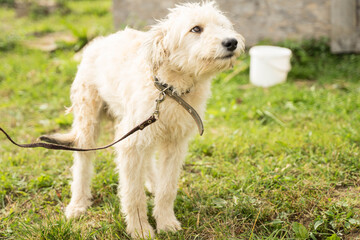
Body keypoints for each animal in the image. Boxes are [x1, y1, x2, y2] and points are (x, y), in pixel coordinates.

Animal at [50, 1, 245, 238]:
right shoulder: (130, 144)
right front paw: (140, 229)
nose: (232, 42)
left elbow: (168, 188)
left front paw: (166, 222)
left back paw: (152, 182)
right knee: (82, 162)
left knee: (148, 160)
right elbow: (133, 194)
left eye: (223, 26)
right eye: (196, 29)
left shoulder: (175, 143)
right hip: (89, 120)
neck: (170, 90)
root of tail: (100, 40)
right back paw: (78, 204)